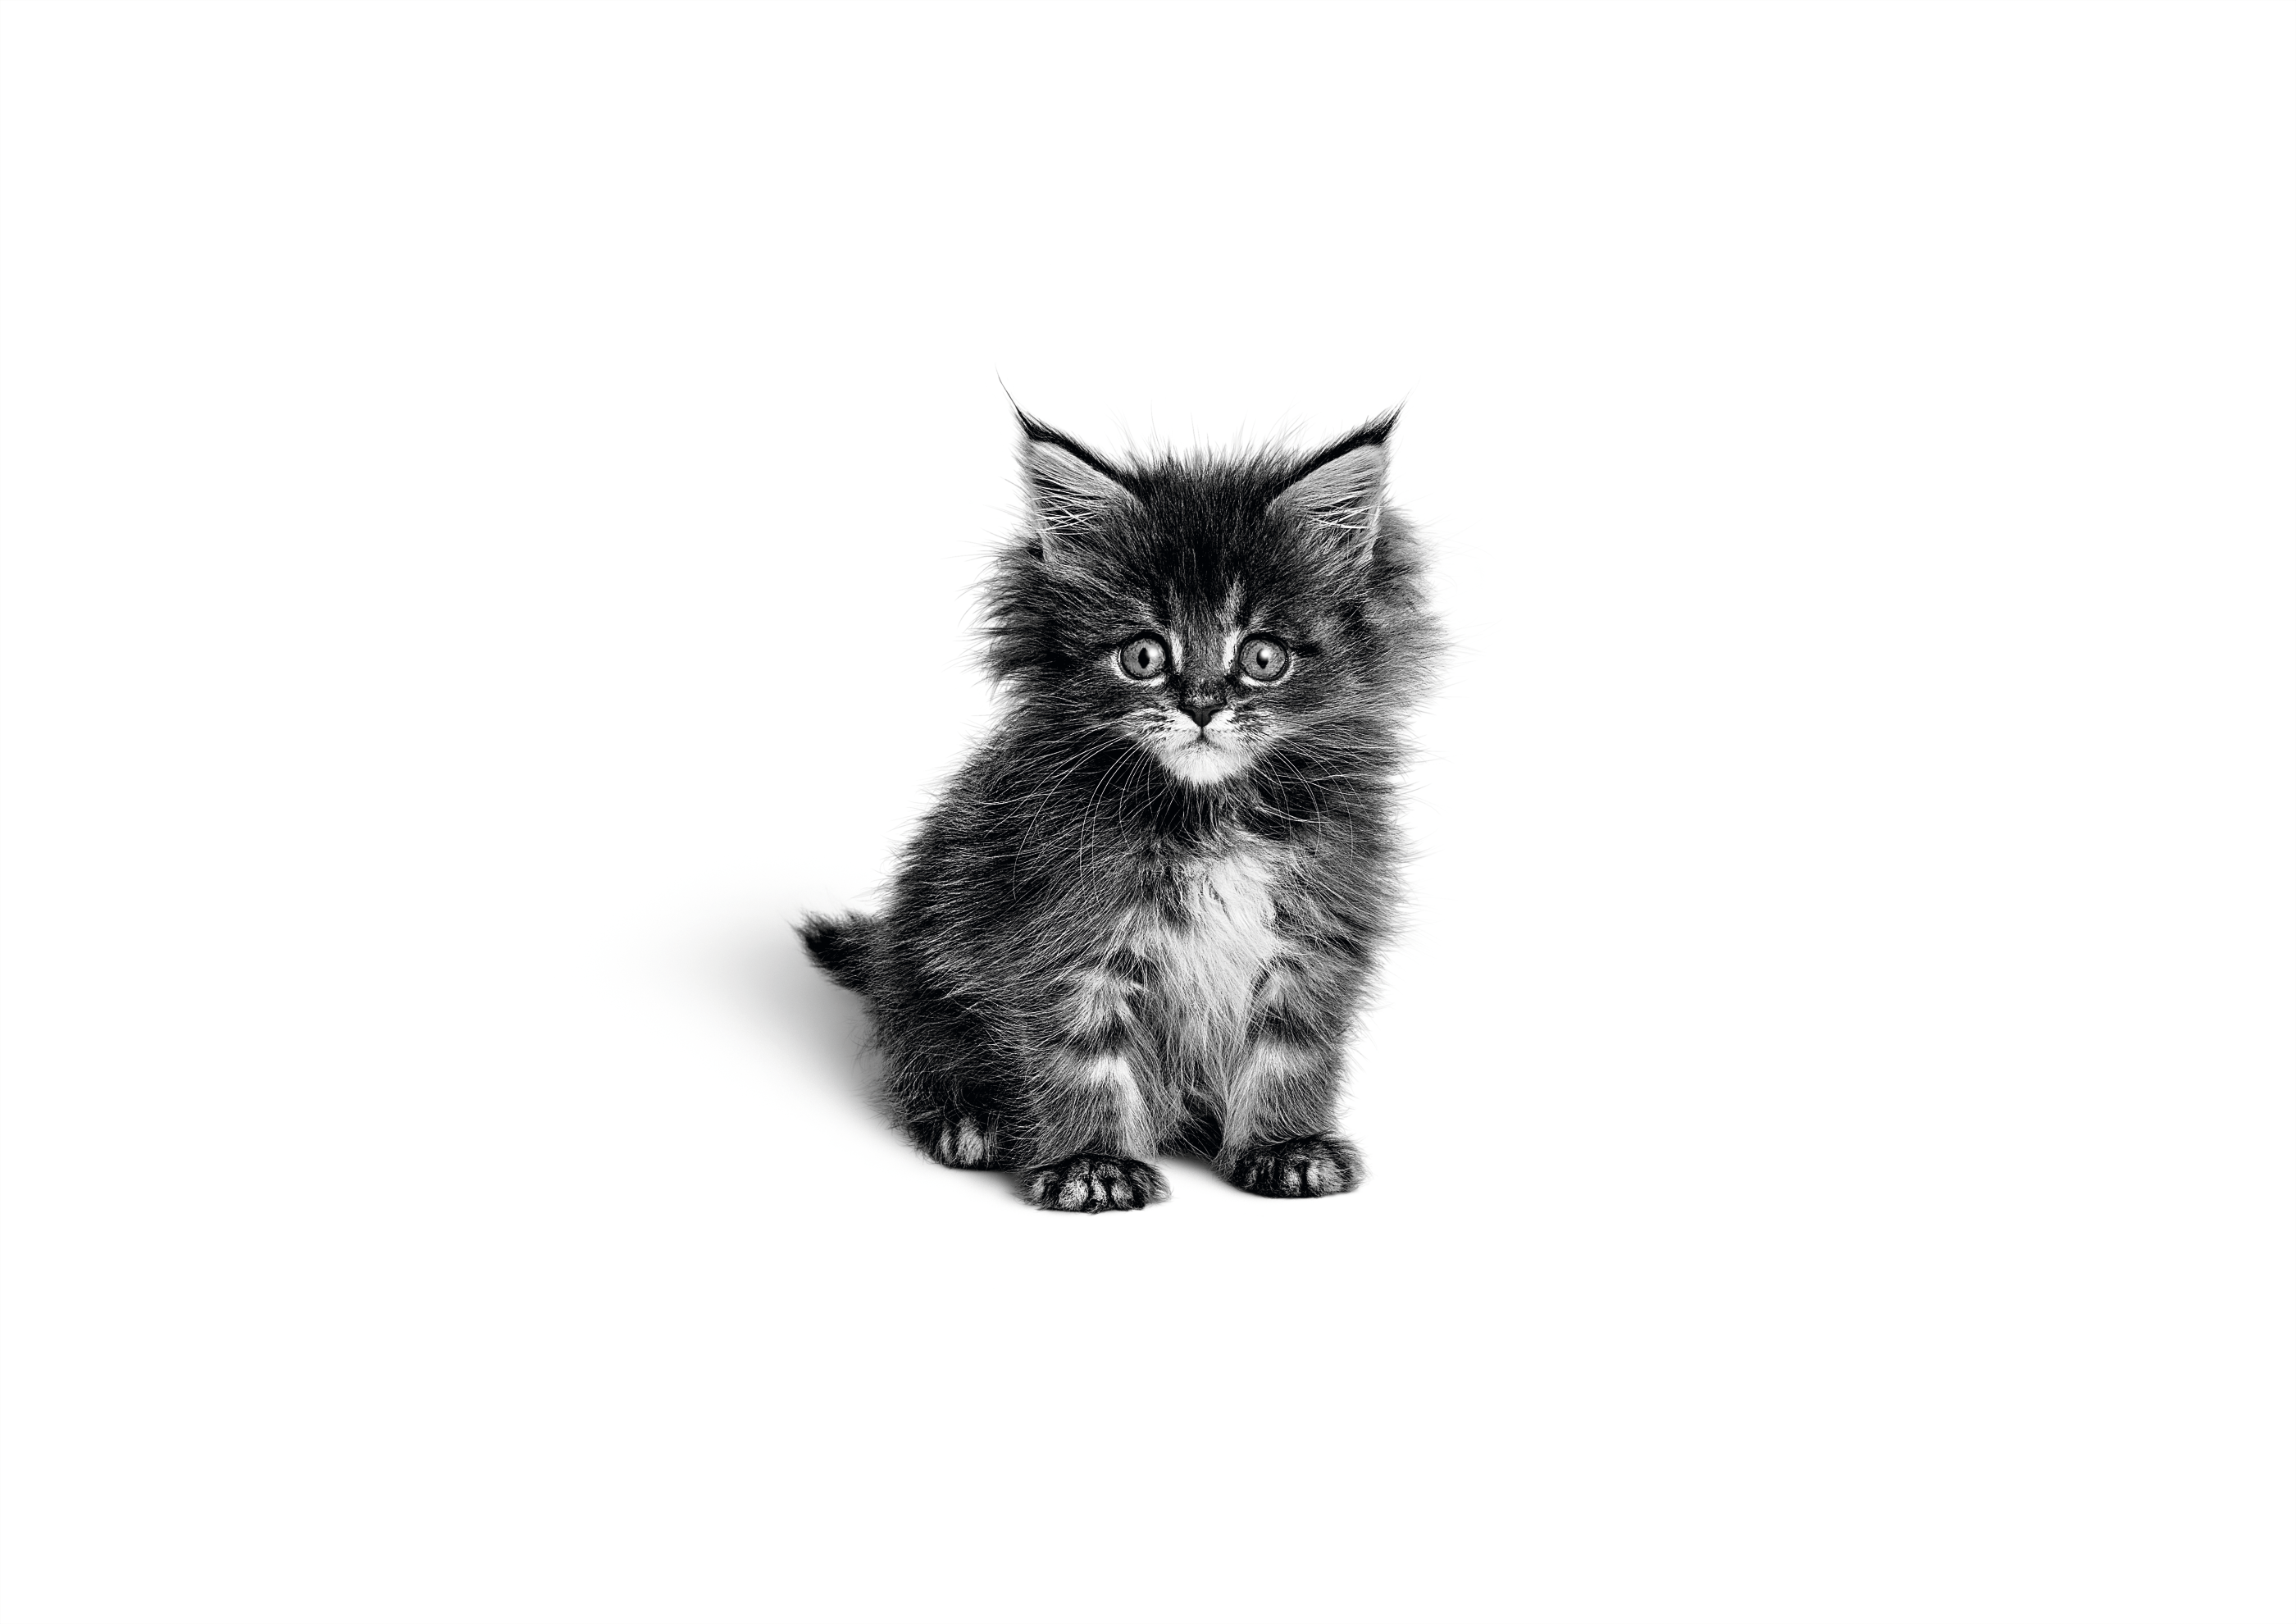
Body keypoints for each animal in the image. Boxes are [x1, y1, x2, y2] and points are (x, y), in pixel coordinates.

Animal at [799, 413, 1424, 1212]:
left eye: (1262, 658)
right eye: (1144, 655)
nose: (1202, 707)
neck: (1207, 817)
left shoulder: (1315, 933)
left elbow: (1291, 1051)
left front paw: (1285, 1146)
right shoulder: (1062, 935)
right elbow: (1081, 1059)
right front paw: (1093, 1163)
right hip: (922, 978)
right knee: (922, 1052)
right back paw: (969, 1119)